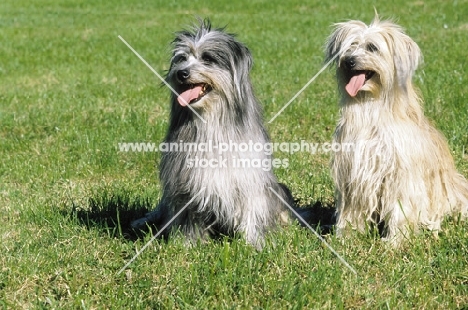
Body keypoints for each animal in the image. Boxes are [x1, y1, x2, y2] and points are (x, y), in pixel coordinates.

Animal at [131, 19, 292, 248]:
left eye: (207, 58)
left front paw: (254, 244)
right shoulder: (186, 184)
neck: (211, 120)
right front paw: (188, 245)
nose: (181, 73)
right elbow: (187, 218)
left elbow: (252, 211)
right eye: (182, 58)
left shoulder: (250, 179)